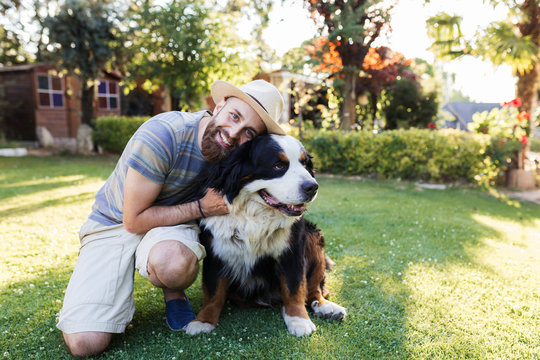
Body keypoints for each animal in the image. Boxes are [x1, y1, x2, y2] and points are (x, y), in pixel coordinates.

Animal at [186, 134, 346, 336]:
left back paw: (327, 308)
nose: (312, 187)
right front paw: (204, 320)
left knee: (314, 290)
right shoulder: (215, 250)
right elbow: (213, 290)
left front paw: (298, 319)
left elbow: (295, 287)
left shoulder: (292, 250)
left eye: (304, 164)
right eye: (278, 166)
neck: (254, 216)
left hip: (312, 236)